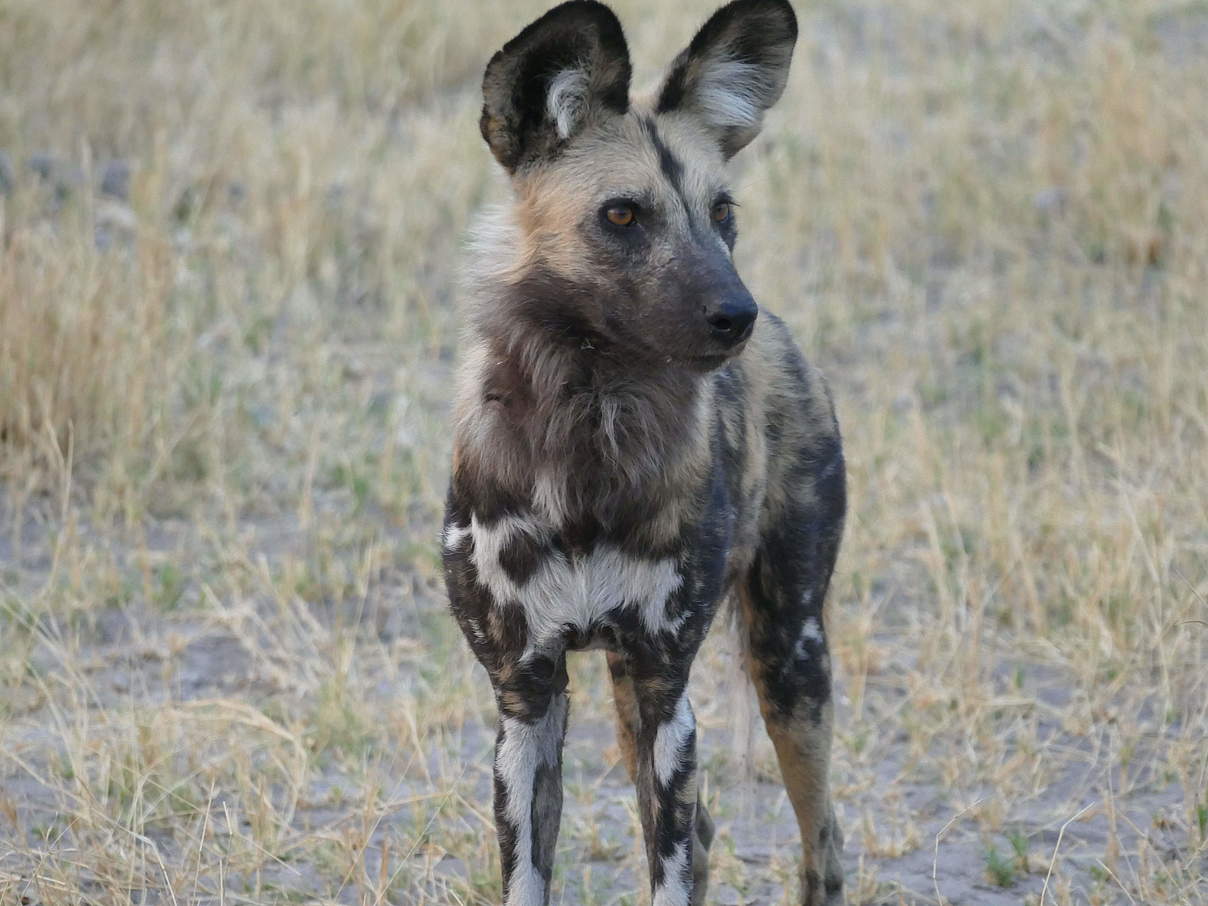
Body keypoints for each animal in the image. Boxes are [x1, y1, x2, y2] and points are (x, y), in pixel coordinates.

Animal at [439, 1, 845, 906]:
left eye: (722, 211)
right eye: (622, 215)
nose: (737, 315)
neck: (591, 428)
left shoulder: (667, 692)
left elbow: (671, 866)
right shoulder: (526, 698)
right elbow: (532, 873)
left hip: (788, 663)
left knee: (823, 843)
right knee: (711, 833)